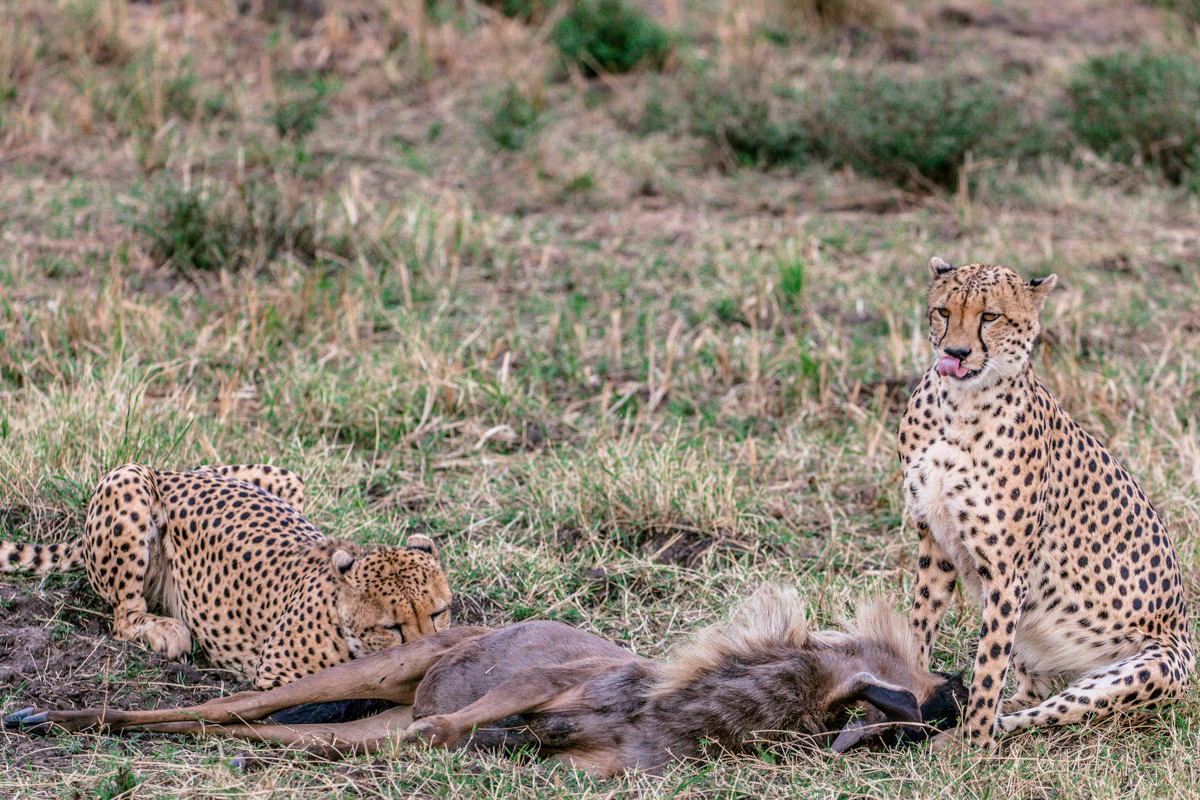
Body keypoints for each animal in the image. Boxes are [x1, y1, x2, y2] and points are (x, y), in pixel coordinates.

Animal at [1, 465, 451, 690]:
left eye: (439, 613)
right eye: (390, 627)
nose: (427, 653)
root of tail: (173, 471)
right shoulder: (277, 680)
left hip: (285, 476)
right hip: (127, 477)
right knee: (123, 617)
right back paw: (164, 630)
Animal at [902, 257, 1195, 753]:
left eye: (990, 316)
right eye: (942, 311)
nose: (956, 352)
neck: (959, 407)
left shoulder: (1007, 573)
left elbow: (988, 667)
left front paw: (973, 748)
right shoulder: (935, 543)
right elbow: (920, 626)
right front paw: (906, 693)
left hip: (1142, 670)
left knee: (1042, 709)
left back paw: (971, 733)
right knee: (1033, 692)